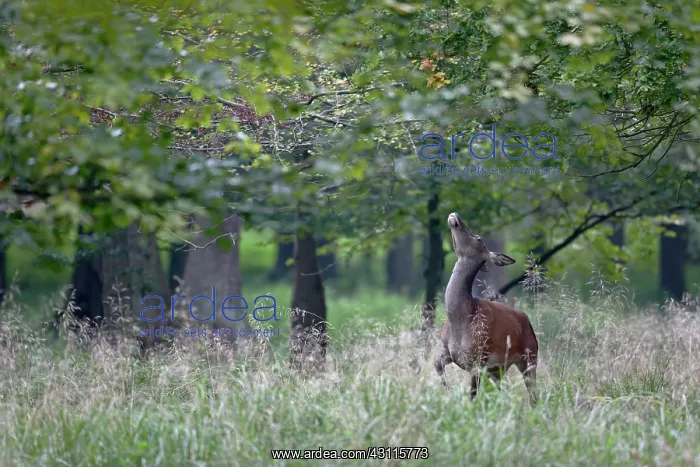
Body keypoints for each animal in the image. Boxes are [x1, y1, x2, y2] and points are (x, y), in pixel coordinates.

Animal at [435, 212, 539, 404]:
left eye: (478, 238)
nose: (455, 216)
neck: (460, 320)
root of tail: (528, 321)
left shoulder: (478, 358)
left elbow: (473, 394)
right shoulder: (448, 351)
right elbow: (437, 364)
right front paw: (449, 392)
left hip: (530, 355)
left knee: (533, 392)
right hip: (499, 367)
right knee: (500, 390)